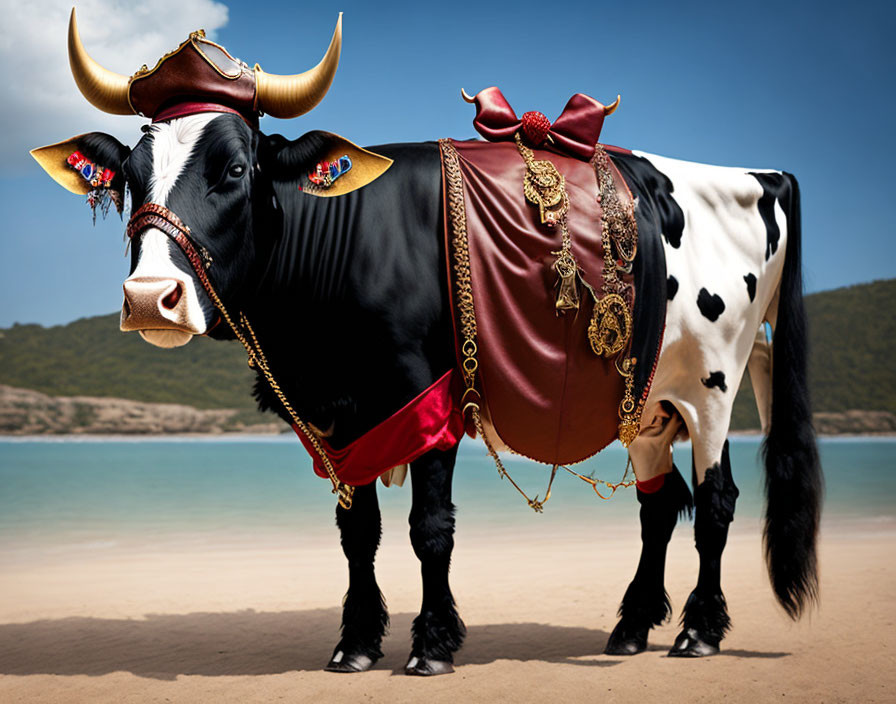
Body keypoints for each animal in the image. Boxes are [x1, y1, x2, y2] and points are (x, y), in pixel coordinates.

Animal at [35, 9, 820, 672]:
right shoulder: (343, 414)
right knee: (659, 504)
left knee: (716, 500)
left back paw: (699, 631)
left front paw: (433, 643)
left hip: (712, 383)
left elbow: (428, 526)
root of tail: (760, 173)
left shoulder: (430, 395)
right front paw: (355, 643)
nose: (149, 298)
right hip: (647, 400)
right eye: (130, 180)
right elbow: (358, 532)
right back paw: (630, 628)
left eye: (233, 169)